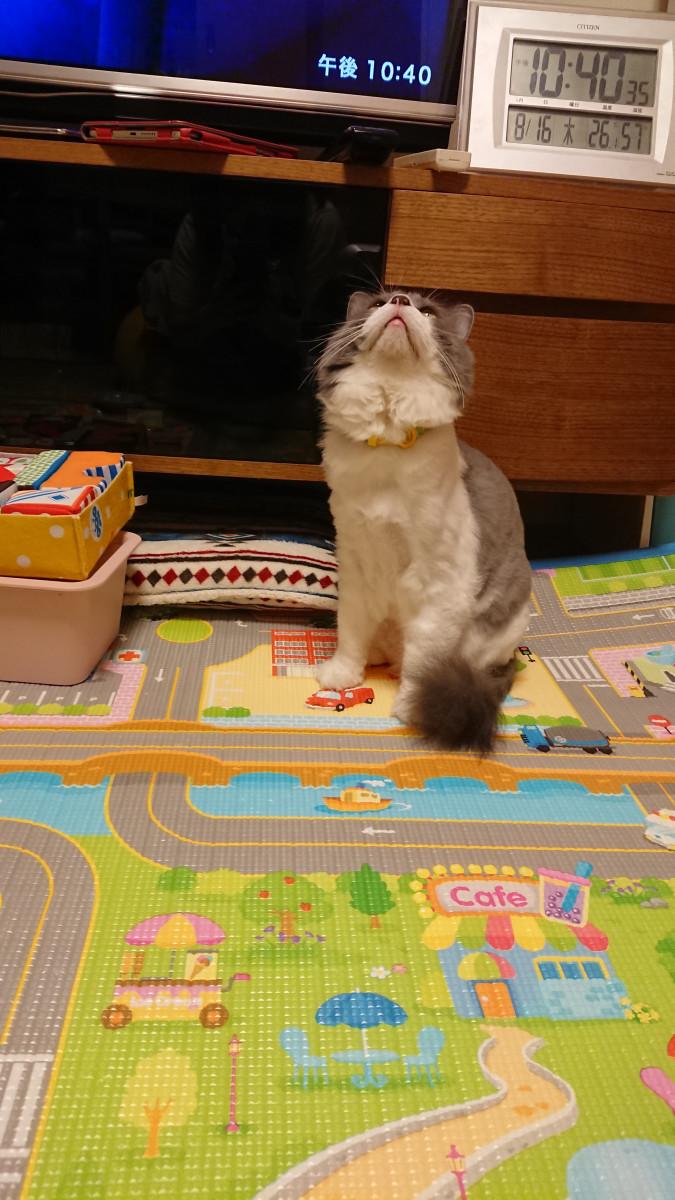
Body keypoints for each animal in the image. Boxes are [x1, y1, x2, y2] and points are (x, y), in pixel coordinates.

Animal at [316, 289, 532, 753]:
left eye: (428, 312)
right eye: (378, 302)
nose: (398, 300)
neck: (386, 448)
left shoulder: (439, 581)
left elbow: (422, 662)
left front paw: (409, 708)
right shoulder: (355, 557)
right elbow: (350, 632)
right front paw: (342, 676)